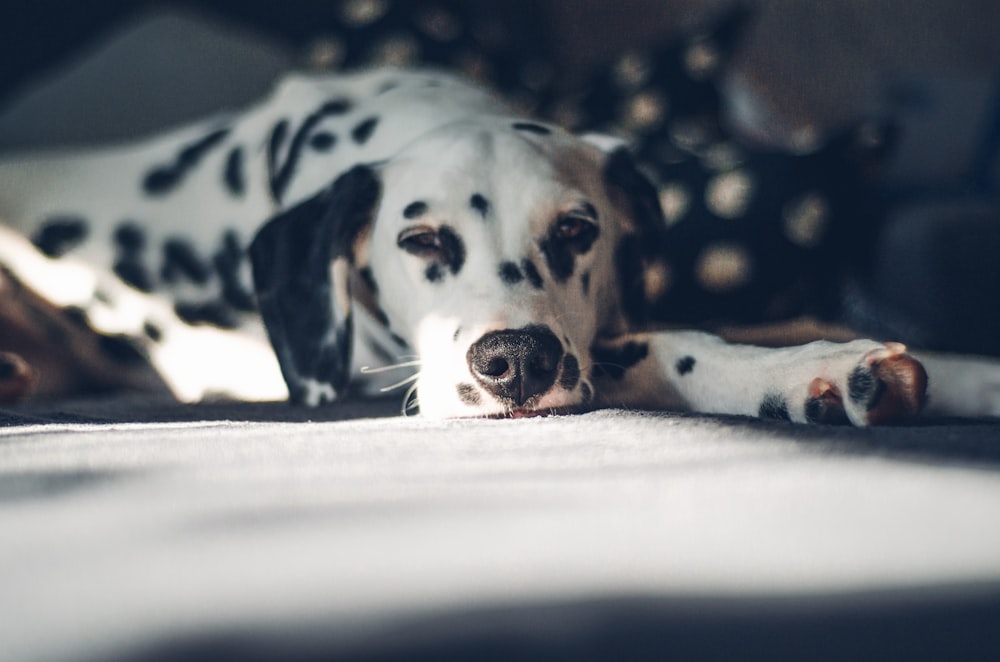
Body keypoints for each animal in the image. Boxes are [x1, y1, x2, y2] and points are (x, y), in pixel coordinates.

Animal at [0, 70, 996, 426]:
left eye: (576, 231)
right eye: (419, 239)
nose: (514, 359)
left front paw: (954, 370)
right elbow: (666, 346)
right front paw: (805, 377)